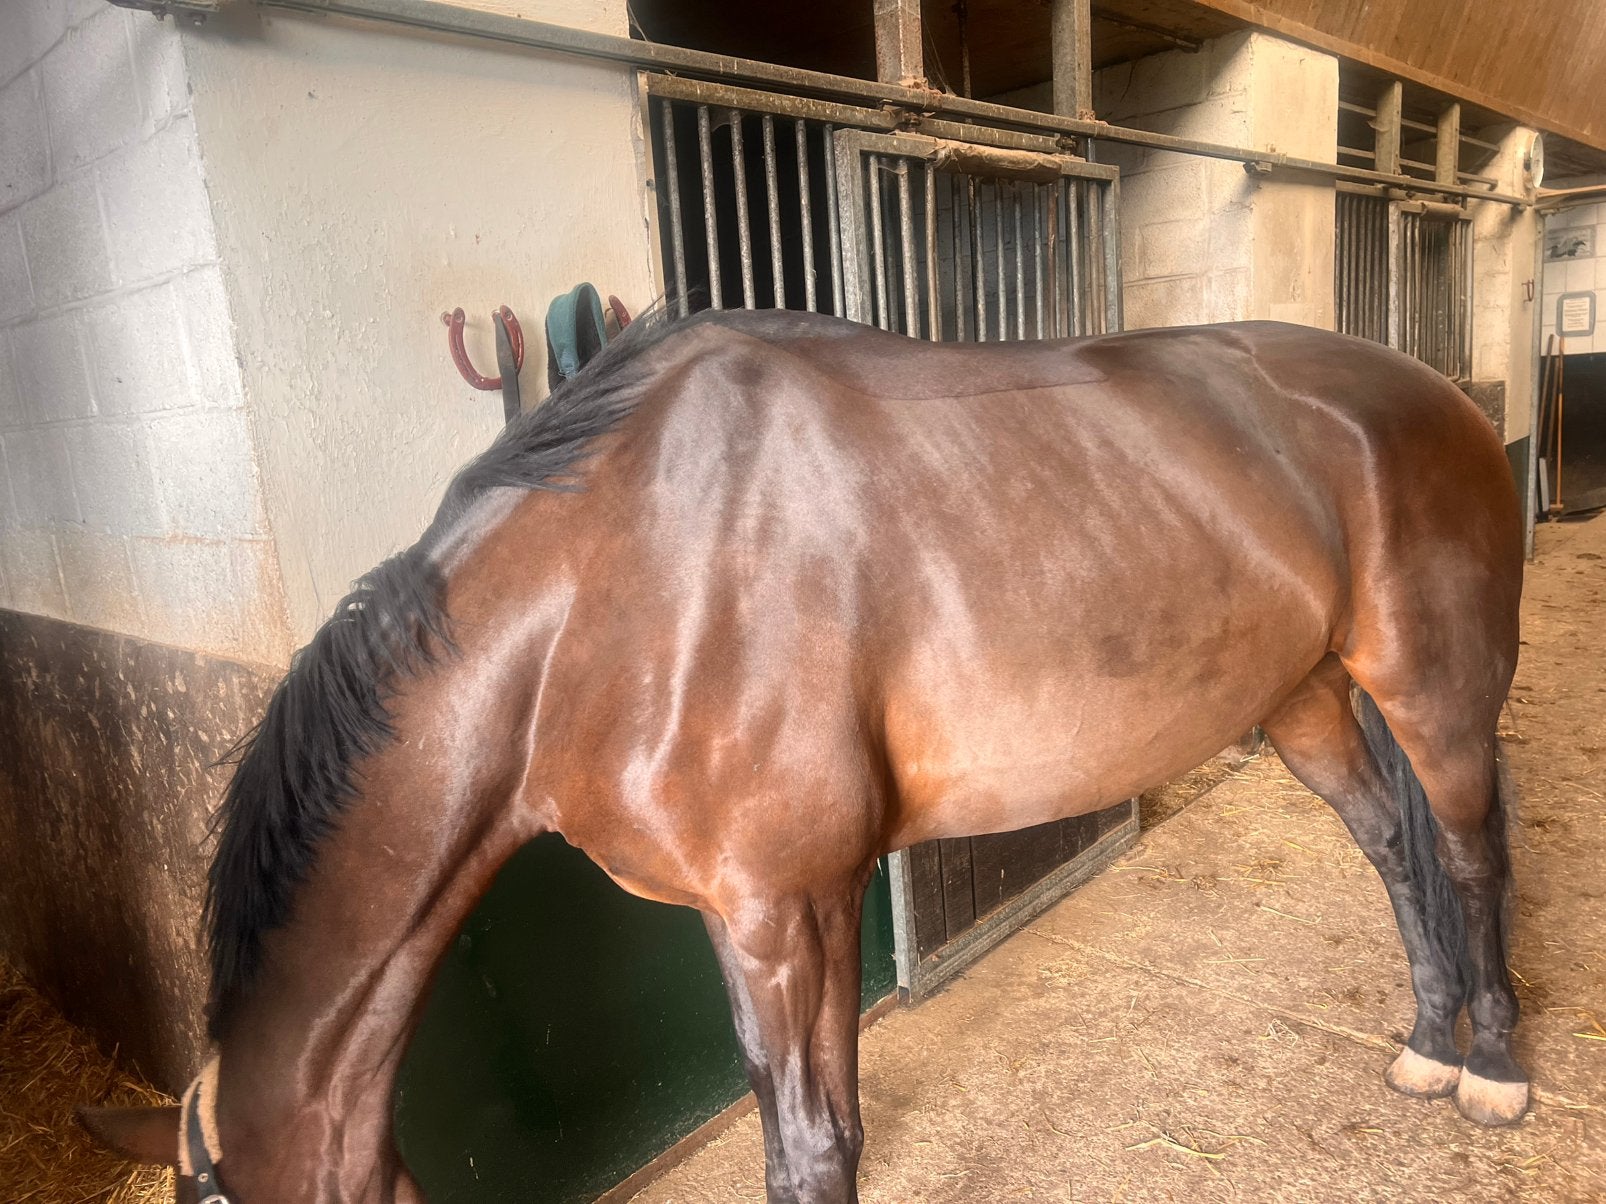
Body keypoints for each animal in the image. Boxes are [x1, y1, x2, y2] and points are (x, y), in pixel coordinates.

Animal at [79, 308, 1527, 1203]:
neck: (597, 595)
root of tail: (1440, 394)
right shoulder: (800, 902)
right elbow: (832, 1130)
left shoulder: (772, 909)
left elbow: (809, 1147)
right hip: (1304, 696)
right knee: (1392, 847)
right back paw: (1425, 1039)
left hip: (1434, 689)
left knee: (1468, 856)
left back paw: (1493, 1070)